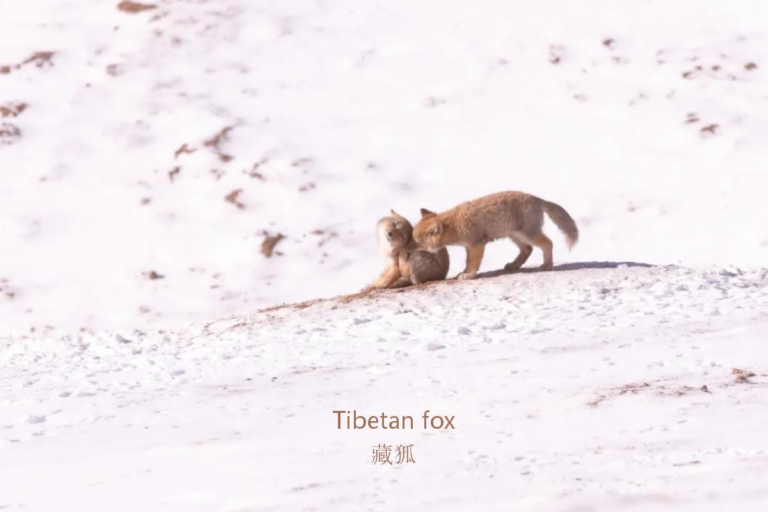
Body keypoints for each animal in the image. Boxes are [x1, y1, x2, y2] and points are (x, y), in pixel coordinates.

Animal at [412, 191, 578, 280]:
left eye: (416, 241)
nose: (408, 251)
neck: (455, 224)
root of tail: (537, 198)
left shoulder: (477, 244)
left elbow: (473, 263)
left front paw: (468, 275)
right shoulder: (468, 247)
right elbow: (467, 263)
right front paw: (464, 273)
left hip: (528, 234)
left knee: (548, 243)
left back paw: (547, 265)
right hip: (515, 236)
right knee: (527, 249)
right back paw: (513, 266)